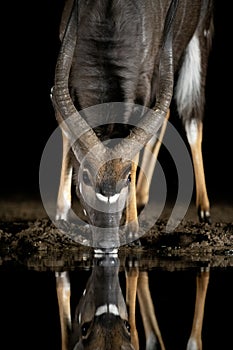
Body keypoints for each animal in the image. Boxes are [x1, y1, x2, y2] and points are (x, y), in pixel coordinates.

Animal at [50, 0, 213, 252]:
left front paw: (133, 228)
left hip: (197, 39)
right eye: (85, 176)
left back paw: (203, 209)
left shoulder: (145, 84)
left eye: (127, 178)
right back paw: (143, 196)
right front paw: (62, 213)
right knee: (166, 113)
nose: (106, 238)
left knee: (192, 119)